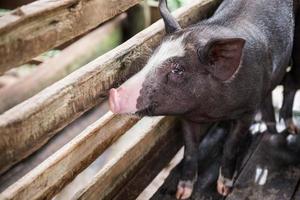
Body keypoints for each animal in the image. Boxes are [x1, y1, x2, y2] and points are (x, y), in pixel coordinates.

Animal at [108, 0, 300, 198]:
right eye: (152, 58)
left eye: (178, 69)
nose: (113, 94)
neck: (211, 111)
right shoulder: (187, 116)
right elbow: (190, 150)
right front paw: (182, 193)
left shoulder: (248, 110)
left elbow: (231, 146)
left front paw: (224, 189)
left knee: (290, 83)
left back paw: (289, 129)